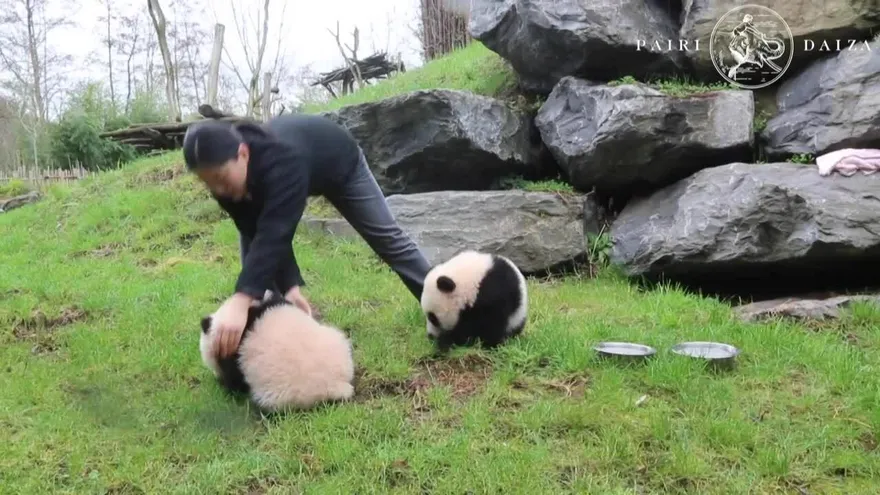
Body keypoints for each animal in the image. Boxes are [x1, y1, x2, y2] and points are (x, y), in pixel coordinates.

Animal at [199, 290, 355, 412]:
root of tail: (336, 384)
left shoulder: (232, 354)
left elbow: (233, 380)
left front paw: (222, 383)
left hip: (278, 391)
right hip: (336, 339)